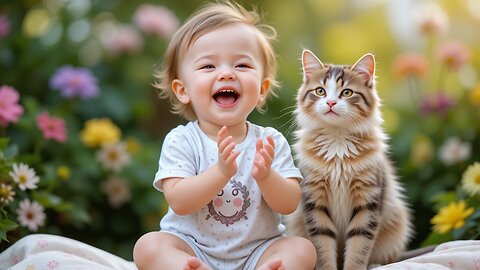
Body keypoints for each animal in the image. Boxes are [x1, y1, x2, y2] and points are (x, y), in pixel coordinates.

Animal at [284, 49, 412, 270]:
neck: (337, 141)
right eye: (320, 91)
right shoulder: (314, 200)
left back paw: (375, 264)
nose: (330, 103)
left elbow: (358, 248)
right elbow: (323, 247)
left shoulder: (369, 200)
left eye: (347, 93)